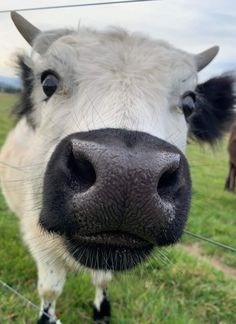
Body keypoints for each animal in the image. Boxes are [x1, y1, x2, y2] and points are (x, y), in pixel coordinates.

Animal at [0, 11, 235, 322]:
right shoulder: (40, 242)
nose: (128, 177)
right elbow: (50, 291)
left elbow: (103, 279)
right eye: (48, 82)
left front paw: (102, 308)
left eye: (189, 102)